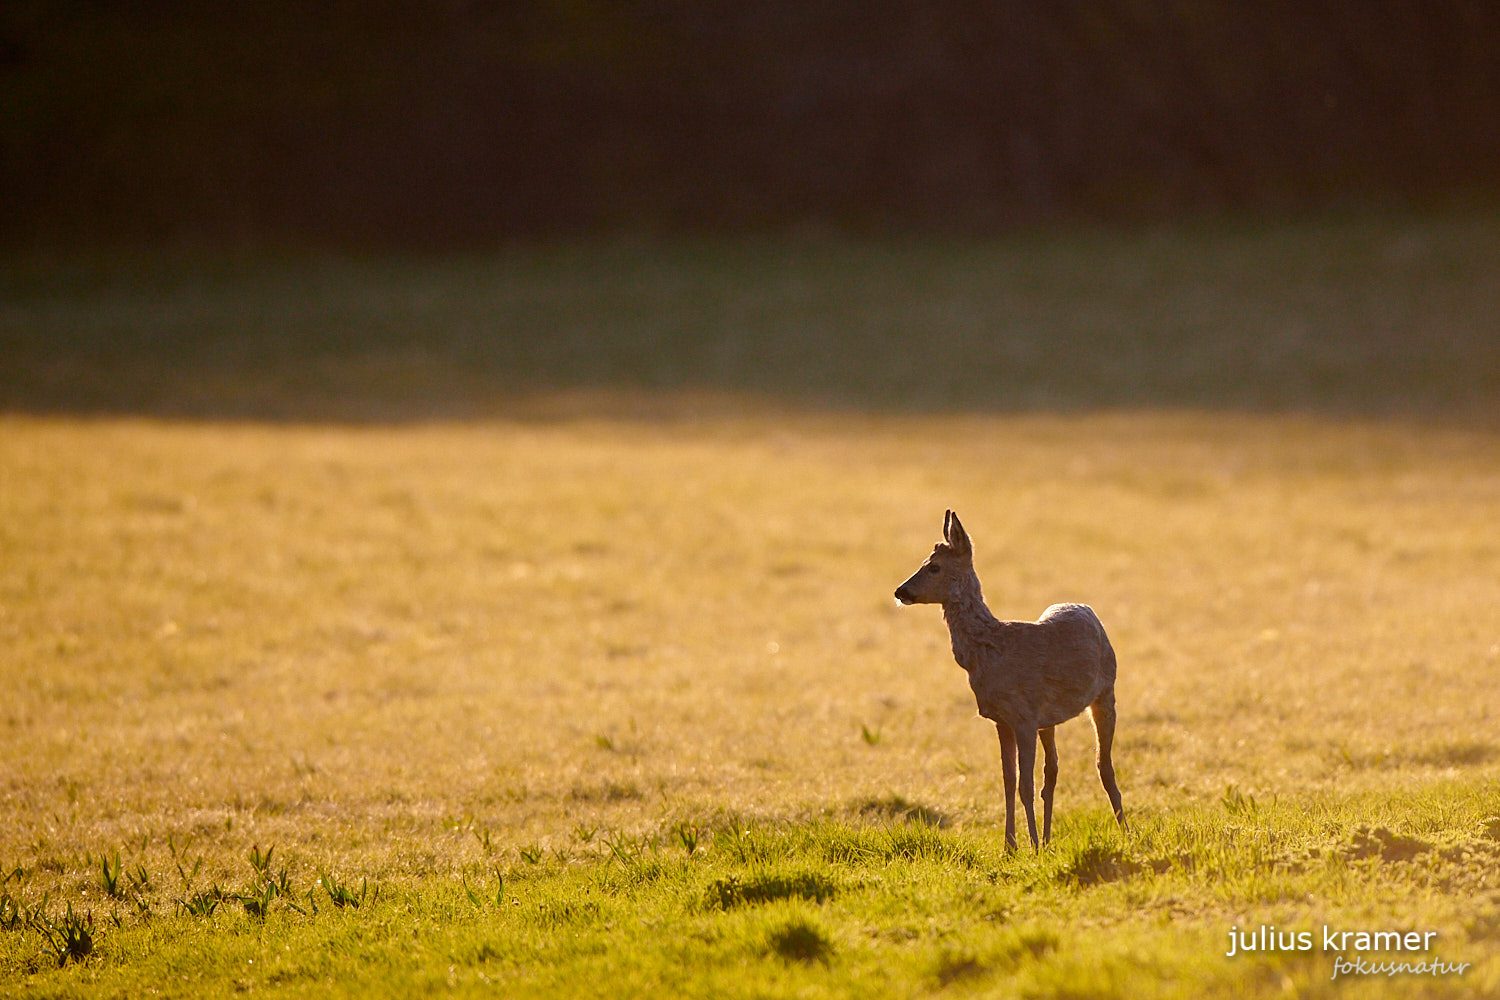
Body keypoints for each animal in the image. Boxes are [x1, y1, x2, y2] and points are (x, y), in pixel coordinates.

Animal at [888, 512, 1128, 851]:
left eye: (934, 566)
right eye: (924, 561)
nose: (900, 591)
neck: (990, 648)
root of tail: (1087, 609)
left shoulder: (1024, 716)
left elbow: (1024, 784)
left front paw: (1031, 846)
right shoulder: (1002, 720)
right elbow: (1008, 782)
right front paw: (1011, 847)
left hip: (1106, 693)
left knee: (1103, 765)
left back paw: (1126, 835)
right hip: (1050, 720)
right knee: (1052, 770)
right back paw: (1049, 838)